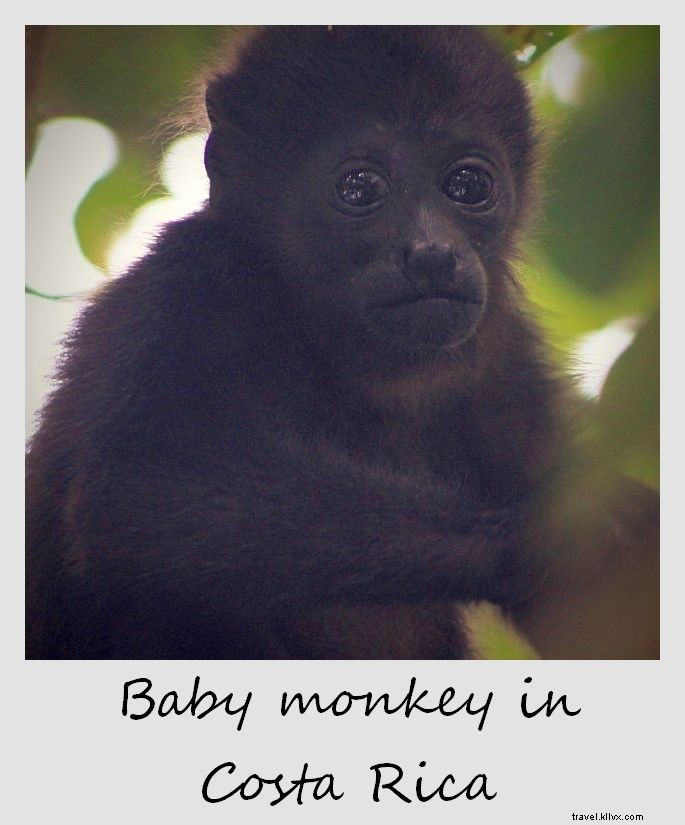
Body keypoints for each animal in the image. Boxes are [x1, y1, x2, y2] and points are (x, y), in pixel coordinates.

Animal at [25, 25, 658, 659]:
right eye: (359, 188)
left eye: (468, 185)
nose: (433, 253)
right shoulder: (181, 289)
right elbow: (136, 489)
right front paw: (529, 543)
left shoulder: (506, 359)